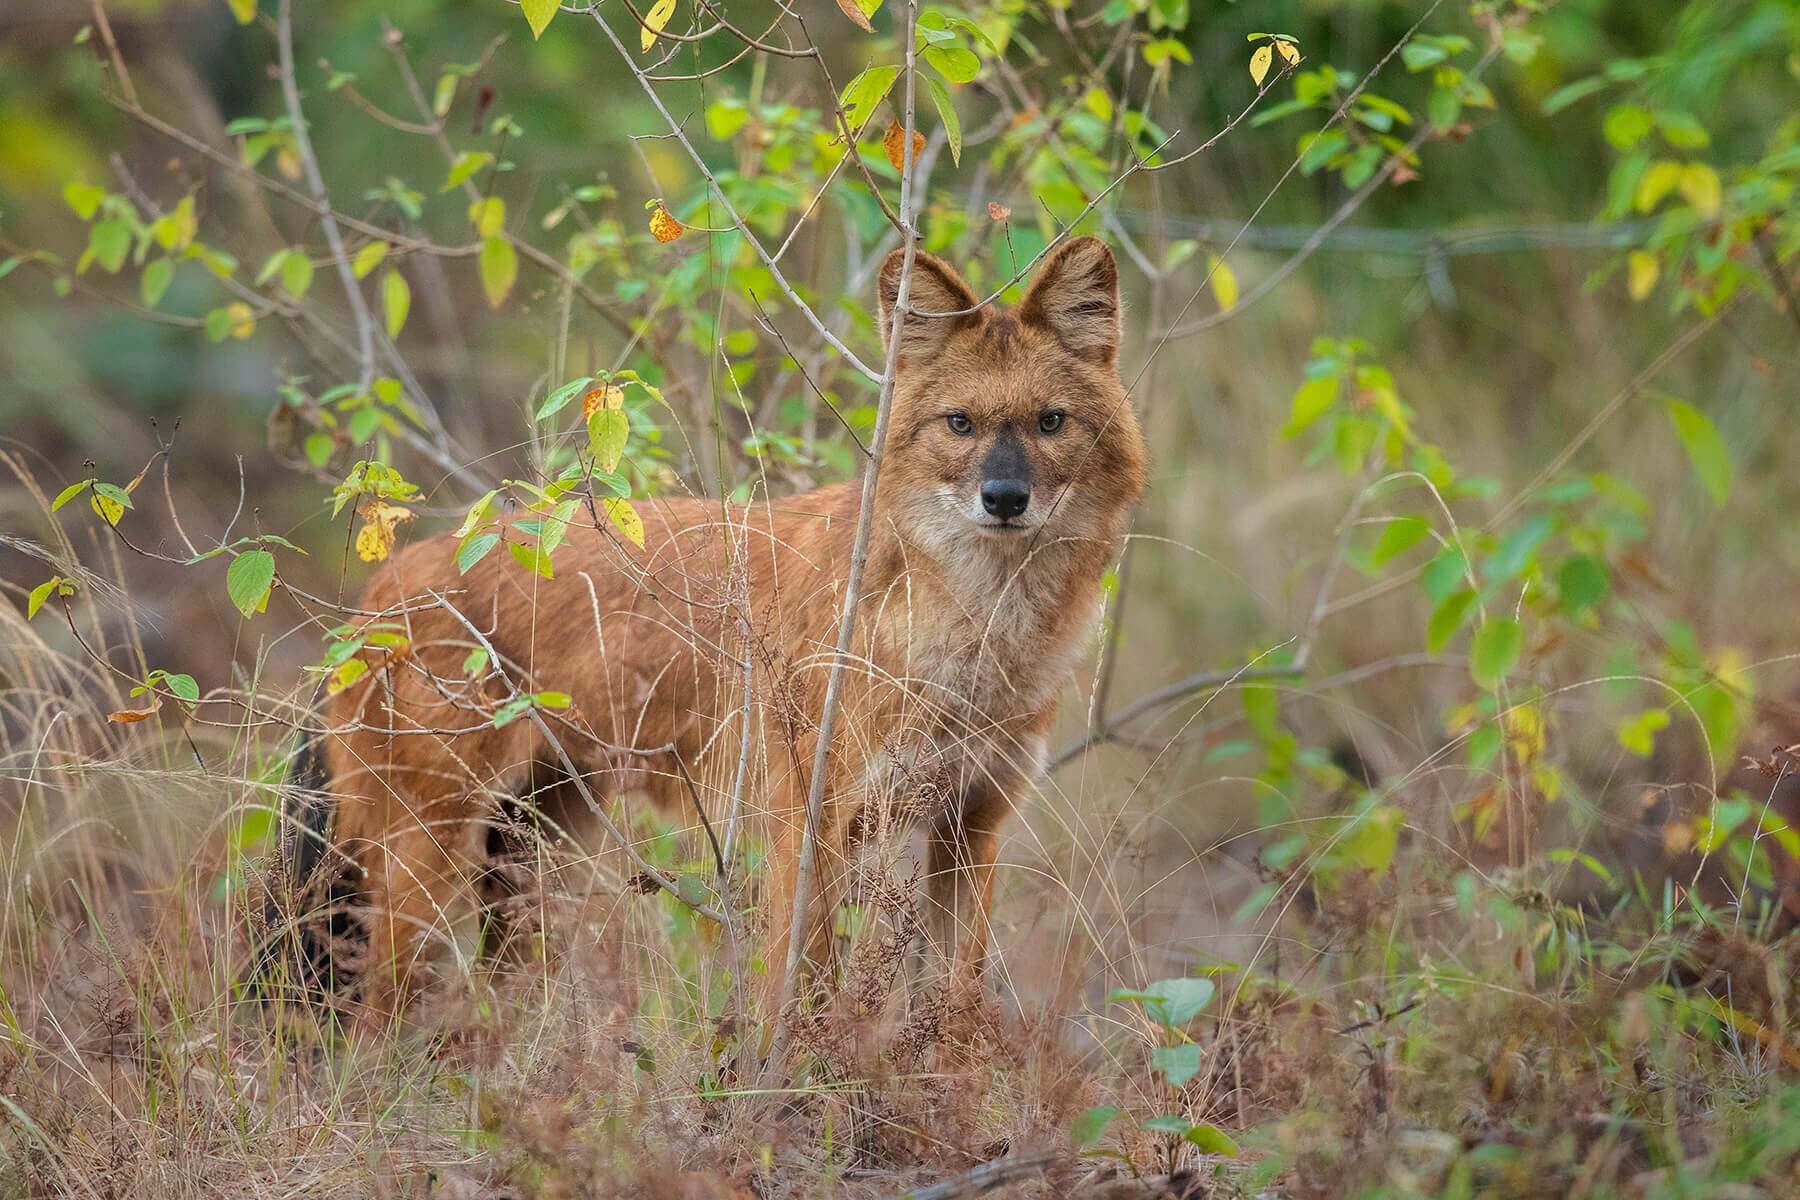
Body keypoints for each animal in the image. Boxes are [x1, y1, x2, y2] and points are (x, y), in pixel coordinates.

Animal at [273, 239, 1144, 1029]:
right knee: (376, 1016)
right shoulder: (808, 823)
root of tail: (383, 585)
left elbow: (956, 1007)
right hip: (426, 855)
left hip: (536, 860)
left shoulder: (972, 826)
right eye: (960, 424)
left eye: (1050, 423)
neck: (975, 635)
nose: (1005, 497)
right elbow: (802, 994)